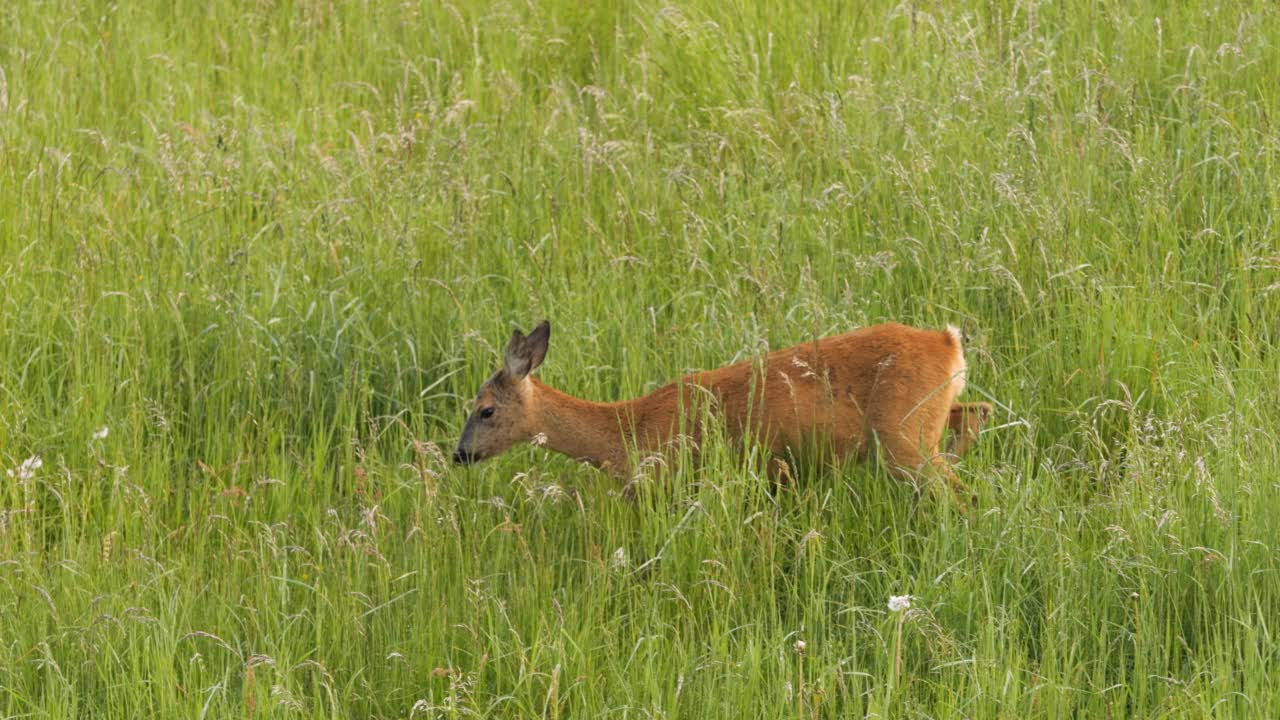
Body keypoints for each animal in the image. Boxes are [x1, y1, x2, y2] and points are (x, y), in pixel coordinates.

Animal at [455, 319, 993, 504]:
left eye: (484, 410)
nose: (459, 455)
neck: (626, 432)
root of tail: (948, 342)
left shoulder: (669, 477)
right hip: (927, 417)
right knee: (977, 412)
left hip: (903, 437)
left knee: (958, 489)